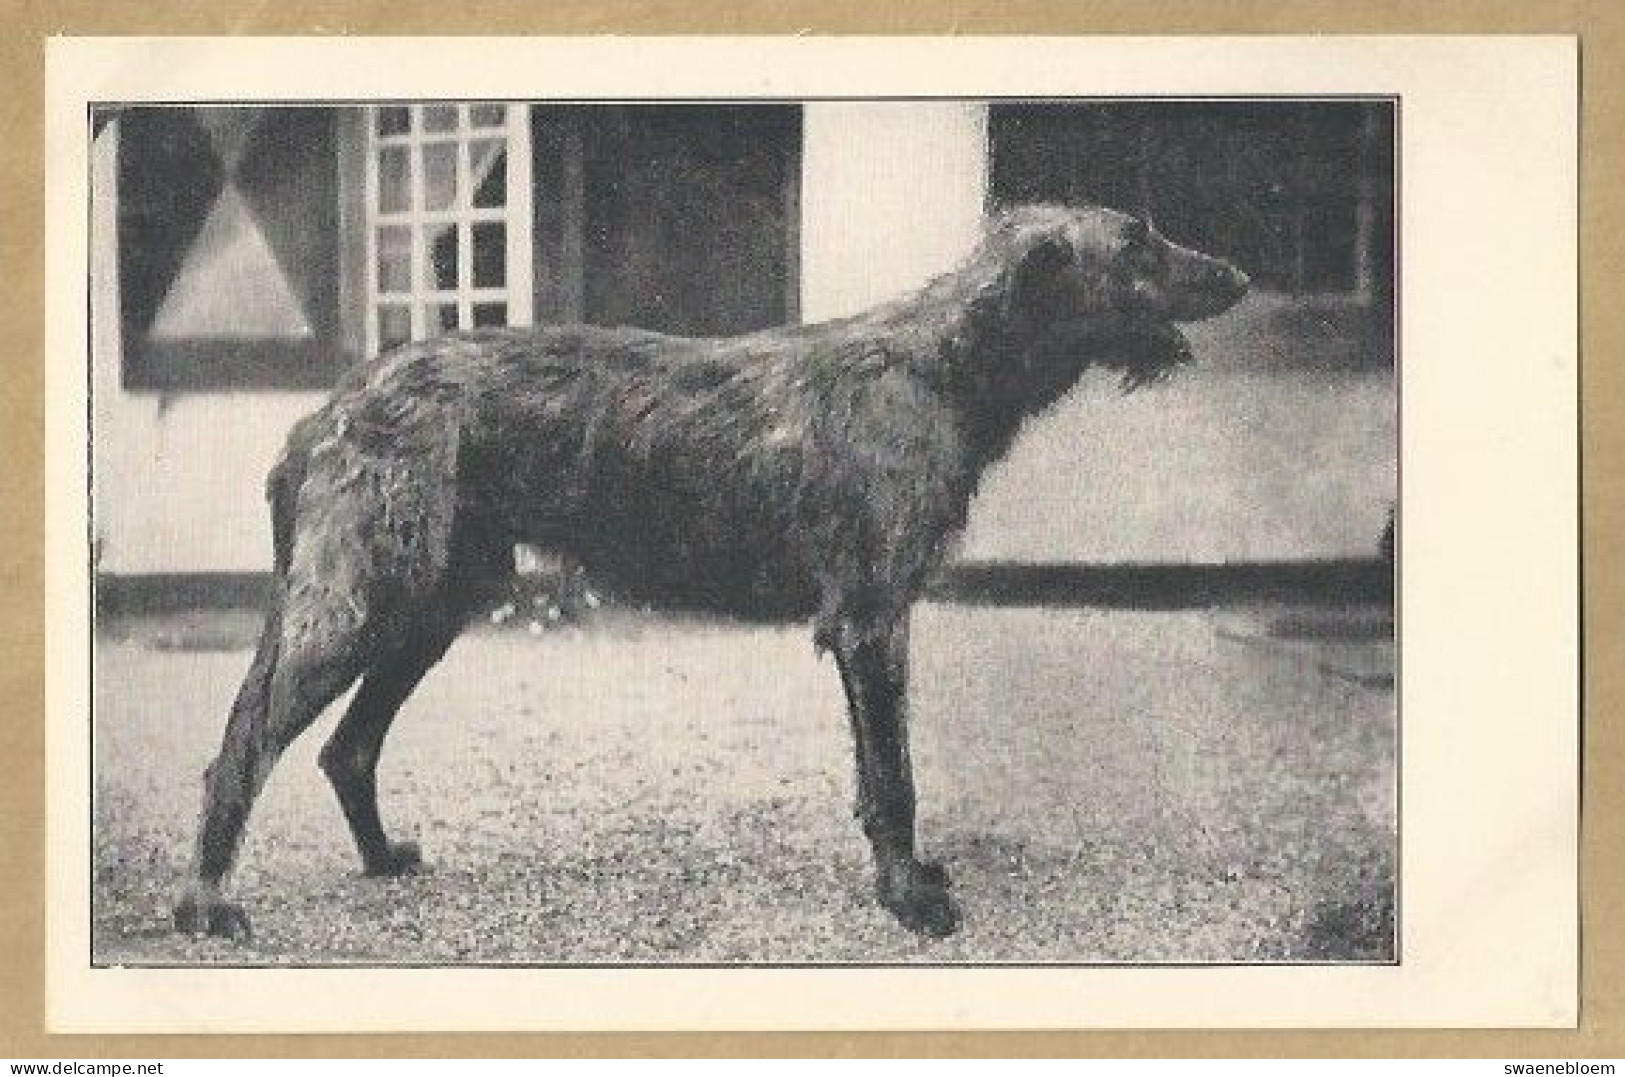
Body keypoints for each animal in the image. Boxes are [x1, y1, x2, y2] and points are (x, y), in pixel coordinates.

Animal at [174, 204, 1241, 942]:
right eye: (1138, 244)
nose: (1235, 273)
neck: (941, 363)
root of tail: (325, 410)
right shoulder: (870, 615)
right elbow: (895, 776)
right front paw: (907, 898)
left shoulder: (863, 624)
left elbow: (873, 777)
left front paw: (899, 878)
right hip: (355, 601)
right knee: (244, 740)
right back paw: (204, 901)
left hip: (433, 603)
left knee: (345, 747)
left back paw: (379, 857)